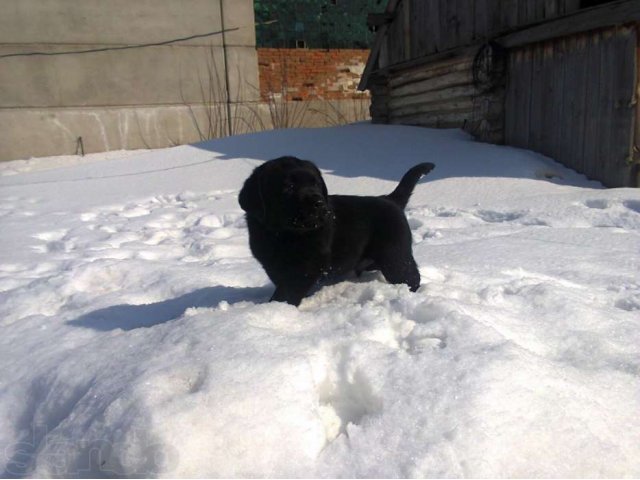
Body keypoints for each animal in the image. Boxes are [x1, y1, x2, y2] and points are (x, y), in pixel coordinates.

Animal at [240, 158, 436, 308]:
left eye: (317, 184)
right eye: (289, 186)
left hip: (394, 254)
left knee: (410, 276)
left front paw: (276, 307)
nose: (319, 202)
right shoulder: (272, 264)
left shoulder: (307, 265)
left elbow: (288, 291)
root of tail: (390, 199)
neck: (282, 234)